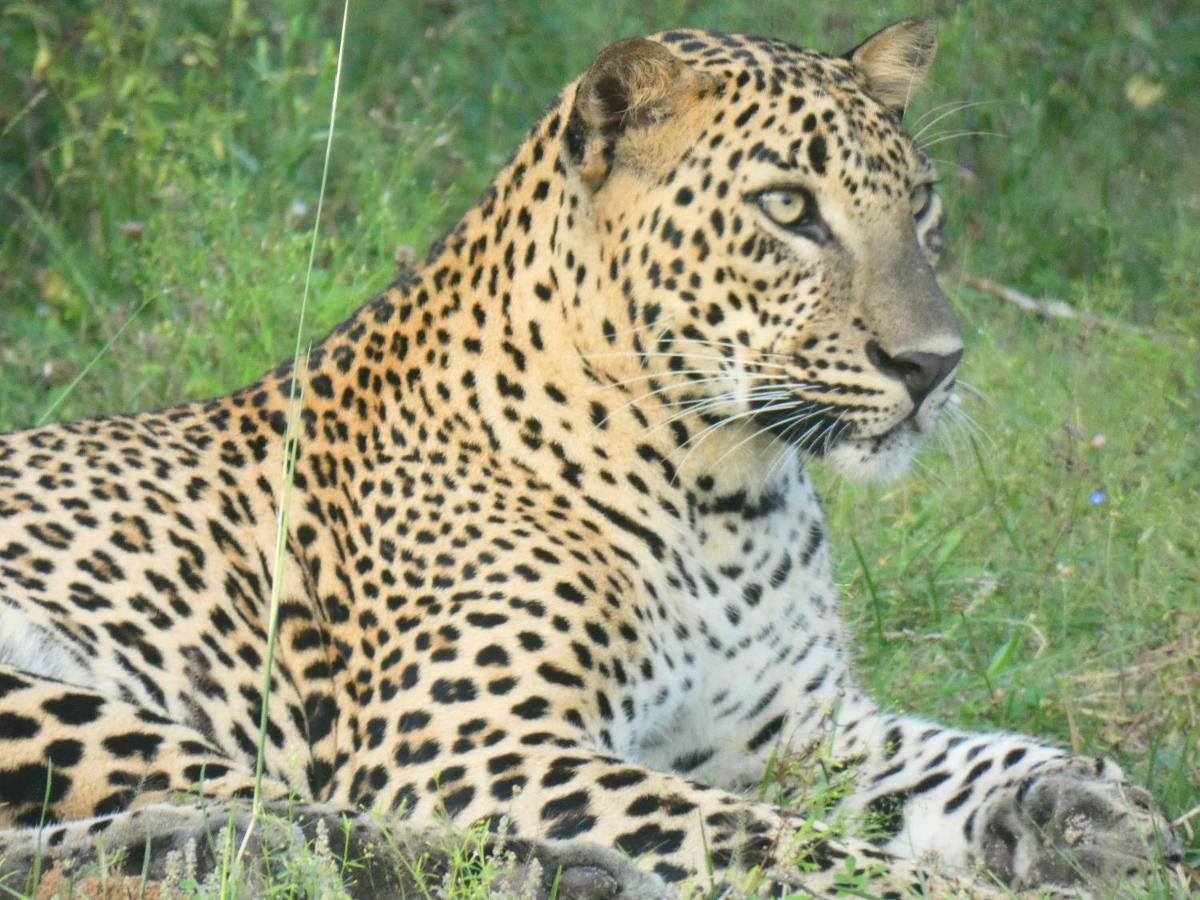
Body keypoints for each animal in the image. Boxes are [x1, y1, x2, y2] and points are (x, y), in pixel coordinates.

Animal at [0, 15, 1180, 900]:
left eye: (921, 202)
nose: (933, 365)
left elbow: (949, 752)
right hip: (60, 695)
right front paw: (931, 881)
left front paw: (1088, 803)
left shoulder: (798, 725)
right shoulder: (461, 744)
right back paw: (544, 872)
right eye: (787, 208)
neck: (723, 492)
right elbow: (749, 835)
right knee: (272, 817)